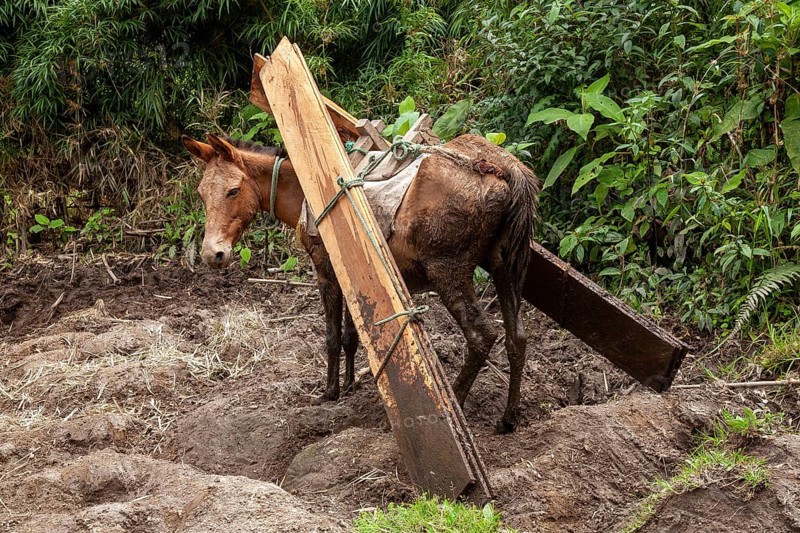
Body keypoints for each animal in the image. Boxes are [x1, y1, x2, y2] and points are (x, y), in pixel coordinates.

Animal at [182, 133, 538, 432]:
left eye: (233, 190)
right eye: (201, 193)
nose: (212, 254)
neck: (305, 190)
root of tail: (505, 169)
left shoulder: (326, 273)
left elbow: (332, 336)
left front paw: (330, 391)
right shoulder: (353, 278)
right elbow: (351, 336)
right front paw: (351, 384)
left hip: (449, 272)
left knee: (481, 336)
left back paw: (458, 402)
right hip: (504, 270)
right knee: (517, 338)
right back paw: (508, 418)